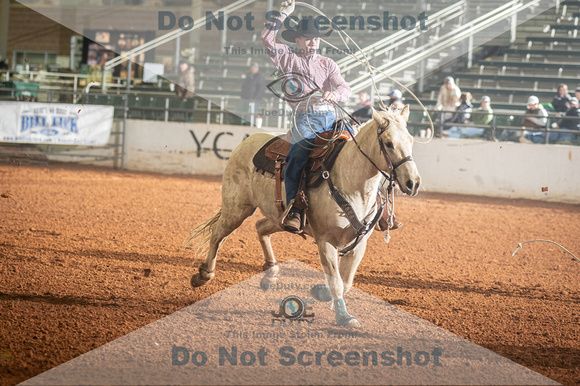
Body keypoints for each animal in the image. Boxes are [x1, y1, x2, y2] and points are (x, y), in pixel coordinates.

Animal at [190, 105, 422, 326]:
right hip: (237, 208)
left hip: (279, 217)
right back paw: (204, 275)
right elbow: (337, 282)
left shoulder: (359, 243)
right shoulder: (325, 241)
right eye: (389, 143)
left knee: (260, 227)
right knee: (217, 234)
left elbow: (346, 282)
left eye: (411, 140)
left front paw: (321, 292)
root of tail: (245, 143)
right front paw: (344, 317)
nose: (413, 183)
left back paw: (271, 273)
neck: (351, 183)